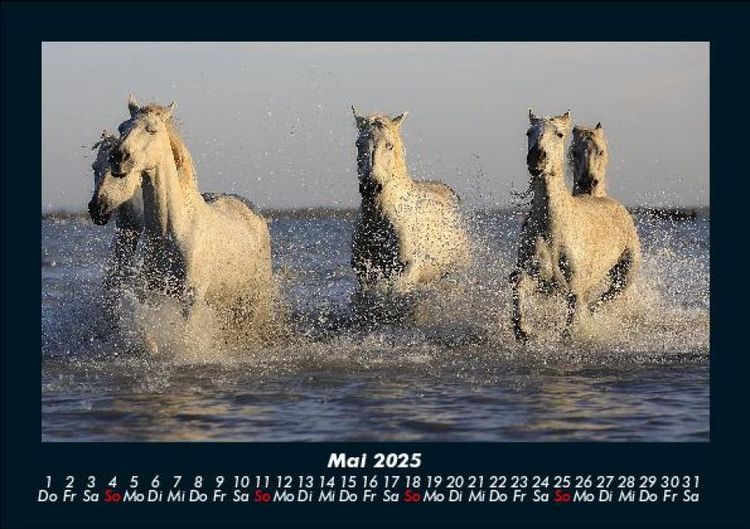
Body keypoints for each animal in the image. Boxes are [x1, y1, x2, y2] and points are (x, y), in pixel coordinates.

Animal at [88, 95, 276, 344]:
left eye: (152, 129)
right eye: (122, 127)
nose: (119, 157)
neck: (173, 231)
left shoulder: (191, 300)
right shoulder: (154, 294)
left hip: (254, 298)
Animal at [510, 110, 641, 342]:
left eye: (559, 134)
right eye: (528, 132)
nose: (536, 158)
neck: (552, 230)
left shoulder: (574, 286)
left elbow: (572, 317)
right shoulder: (536, 277)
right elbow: (518, 287)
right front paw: (523, 331)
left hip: (624, 275)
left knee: (604, 299)